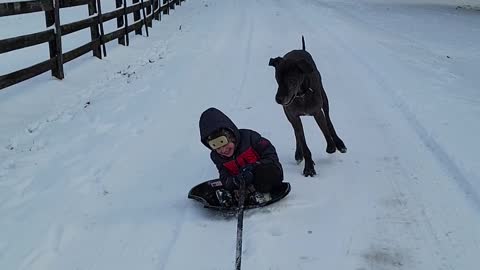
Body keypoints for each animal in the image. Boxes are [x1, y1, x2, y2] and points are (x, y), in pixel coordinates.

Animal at [270, 36, 344, 177]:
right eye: (277, 78)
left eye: (291, 80)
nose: (278, 99)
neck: (301, 95)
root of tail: (300, 49)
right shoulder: (293, 116)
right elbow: (302, 139)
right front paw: (309, 166)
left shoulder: (317, 111)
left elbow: (325, 129)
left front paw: (331, 146)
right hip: (289, 115)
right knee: (297, 133)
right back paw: (299, 153)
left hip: (324, 98)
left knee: (328, 120)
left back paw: (339, 143)